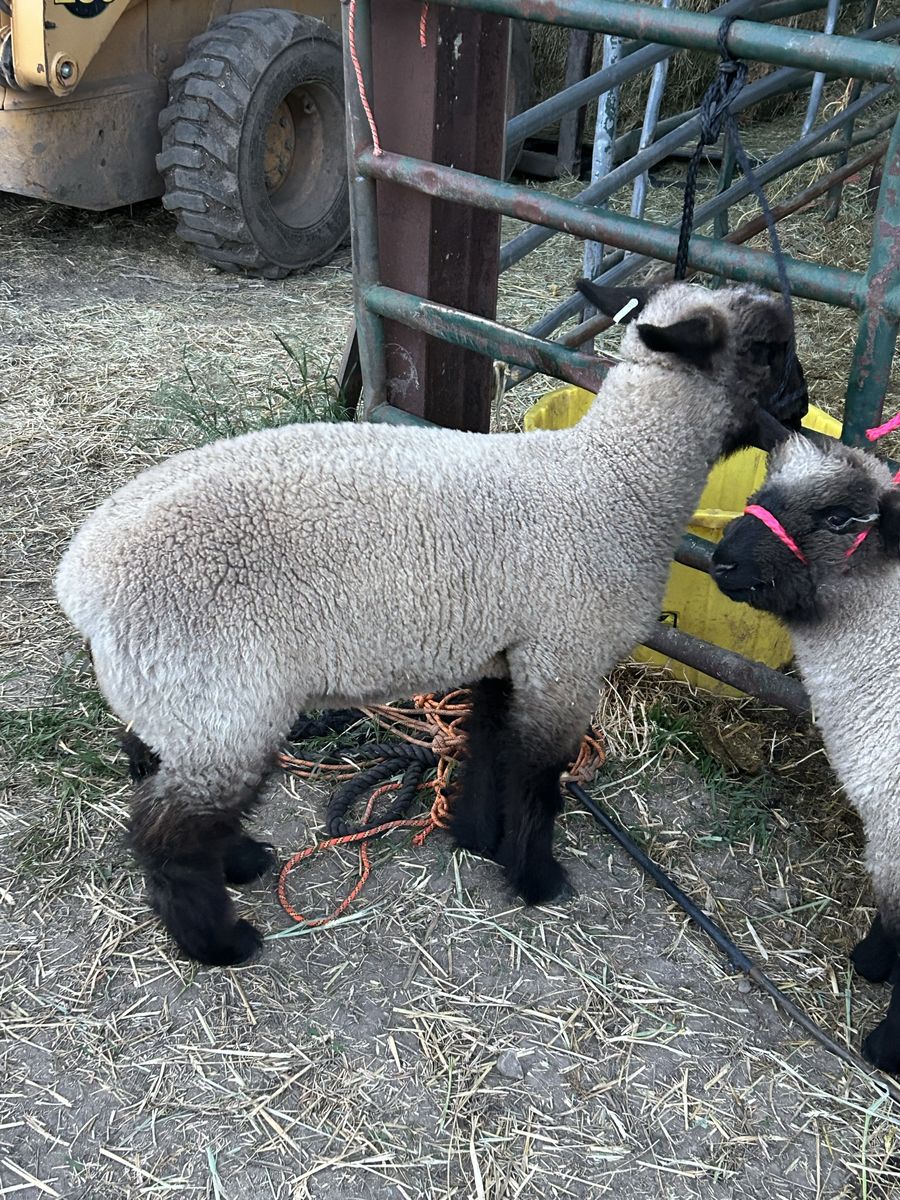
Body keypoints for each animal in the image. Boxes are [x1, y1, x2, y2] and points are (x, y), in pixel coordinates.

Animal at [54, 280, 807, 967]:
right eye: (767, 348)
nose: (801, 407)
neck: (616, 483)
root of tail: (82, 580)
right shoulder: (566, 656)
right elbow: (537, 775)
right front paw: (536, 878)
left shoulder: (507, 655)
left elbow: (488, 745)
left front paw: (477, 837)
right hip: (222, 698)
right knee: (167, 833)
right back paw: (220, 941)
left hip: (180, 700)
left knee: (159, 779)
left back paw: (240, 862)